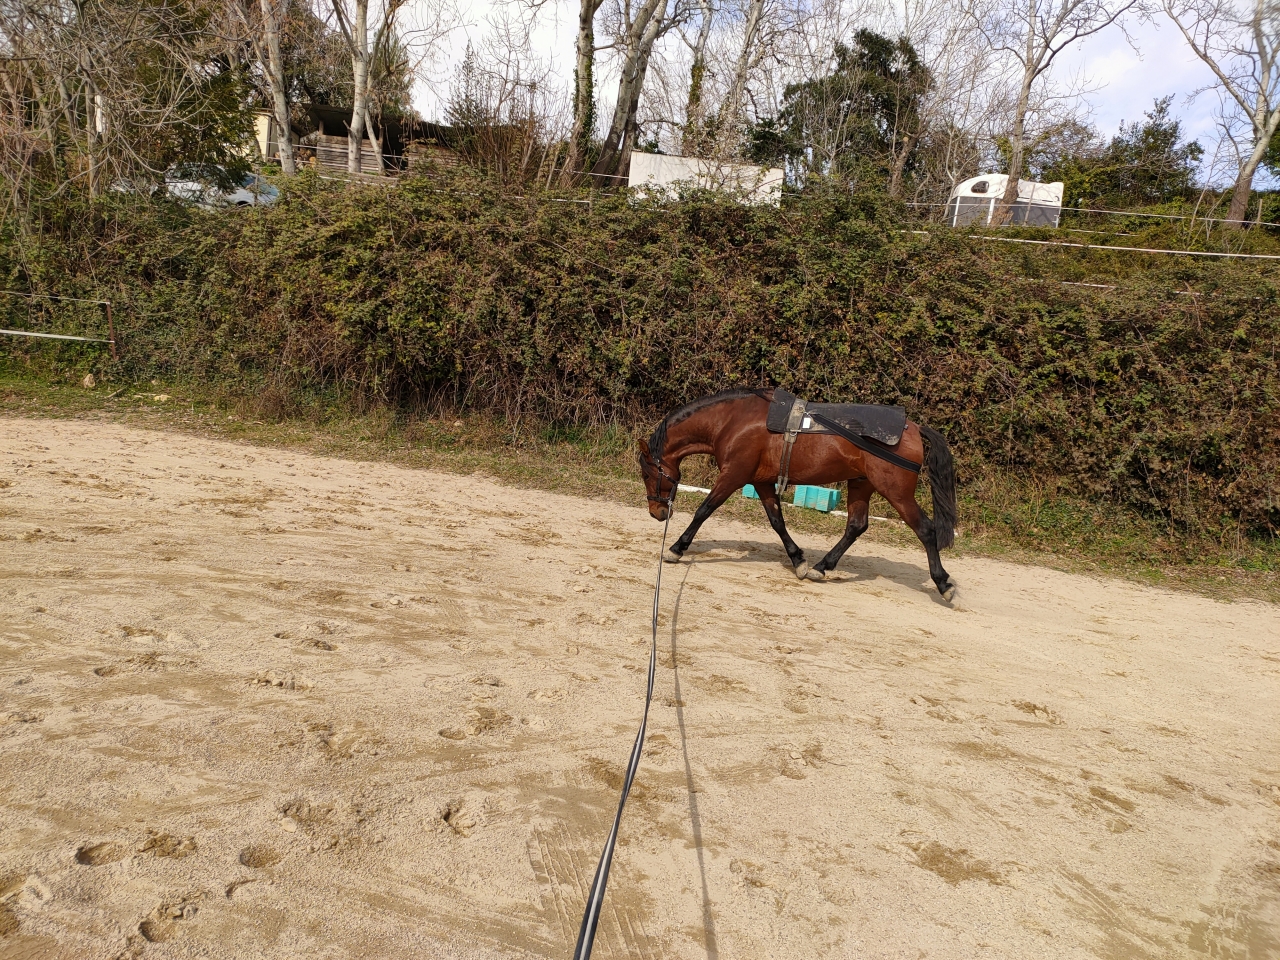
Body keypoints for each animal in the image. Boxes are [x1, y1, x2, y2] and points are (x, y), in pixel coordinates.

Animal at [637, 388, 959, 601]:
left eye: (646, 474)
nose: (657, 513)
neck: (731, 421)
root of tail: (912, 427)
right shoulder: (762, 482)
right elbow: (777, 522)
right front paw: (798, 560)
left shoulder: (733, 476)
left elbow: (704, 510)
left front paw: (676, 548)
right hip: (861, 484)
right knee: (856, 526)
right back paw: (822, 567)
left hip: (896, 491)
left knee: (926, 530)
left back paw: (943, 584)